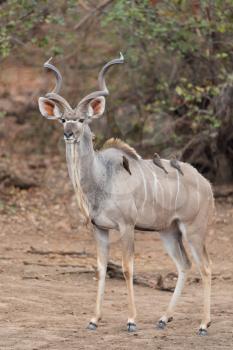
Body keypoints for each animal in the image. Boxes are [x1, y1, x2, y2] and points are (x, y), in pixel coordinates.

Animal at [38, 54, 215, 336]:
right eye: (63, 119)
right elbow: (101, 268)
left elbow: (127, 268)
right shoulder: (99, 229)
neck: (101, 178)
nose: (69, 134)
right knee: (184, 265)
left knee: (206, 267)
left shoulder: (127, 226)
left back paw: (203, 324)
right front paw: (93, 320)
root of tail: (206, 184)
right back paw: (164, 318)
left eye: (83, 120)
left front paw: (132, 321)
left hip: (193, 229)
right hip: (169, 232)